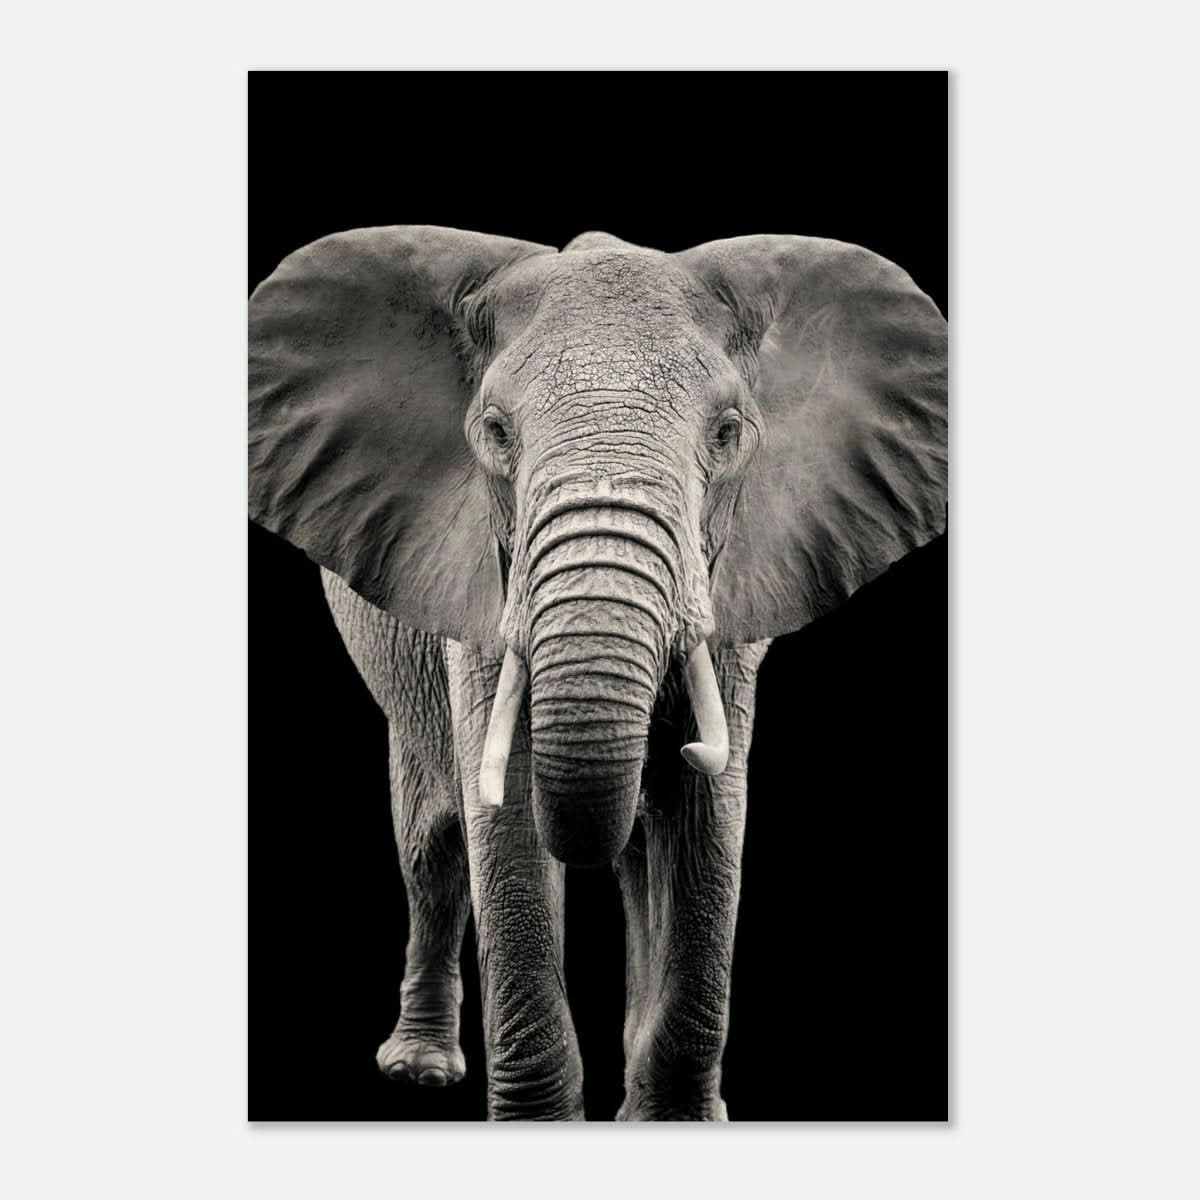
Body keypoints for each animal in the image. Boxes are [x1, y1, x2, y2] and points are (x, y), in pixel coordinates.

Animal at [248, 226, 947, 1121]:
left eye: (728, 433)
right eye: (495, 431)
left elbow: (706, 822)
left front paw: (676, 1120)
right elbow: (506, 819)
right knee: (432, 846)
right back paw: (420, 1069)